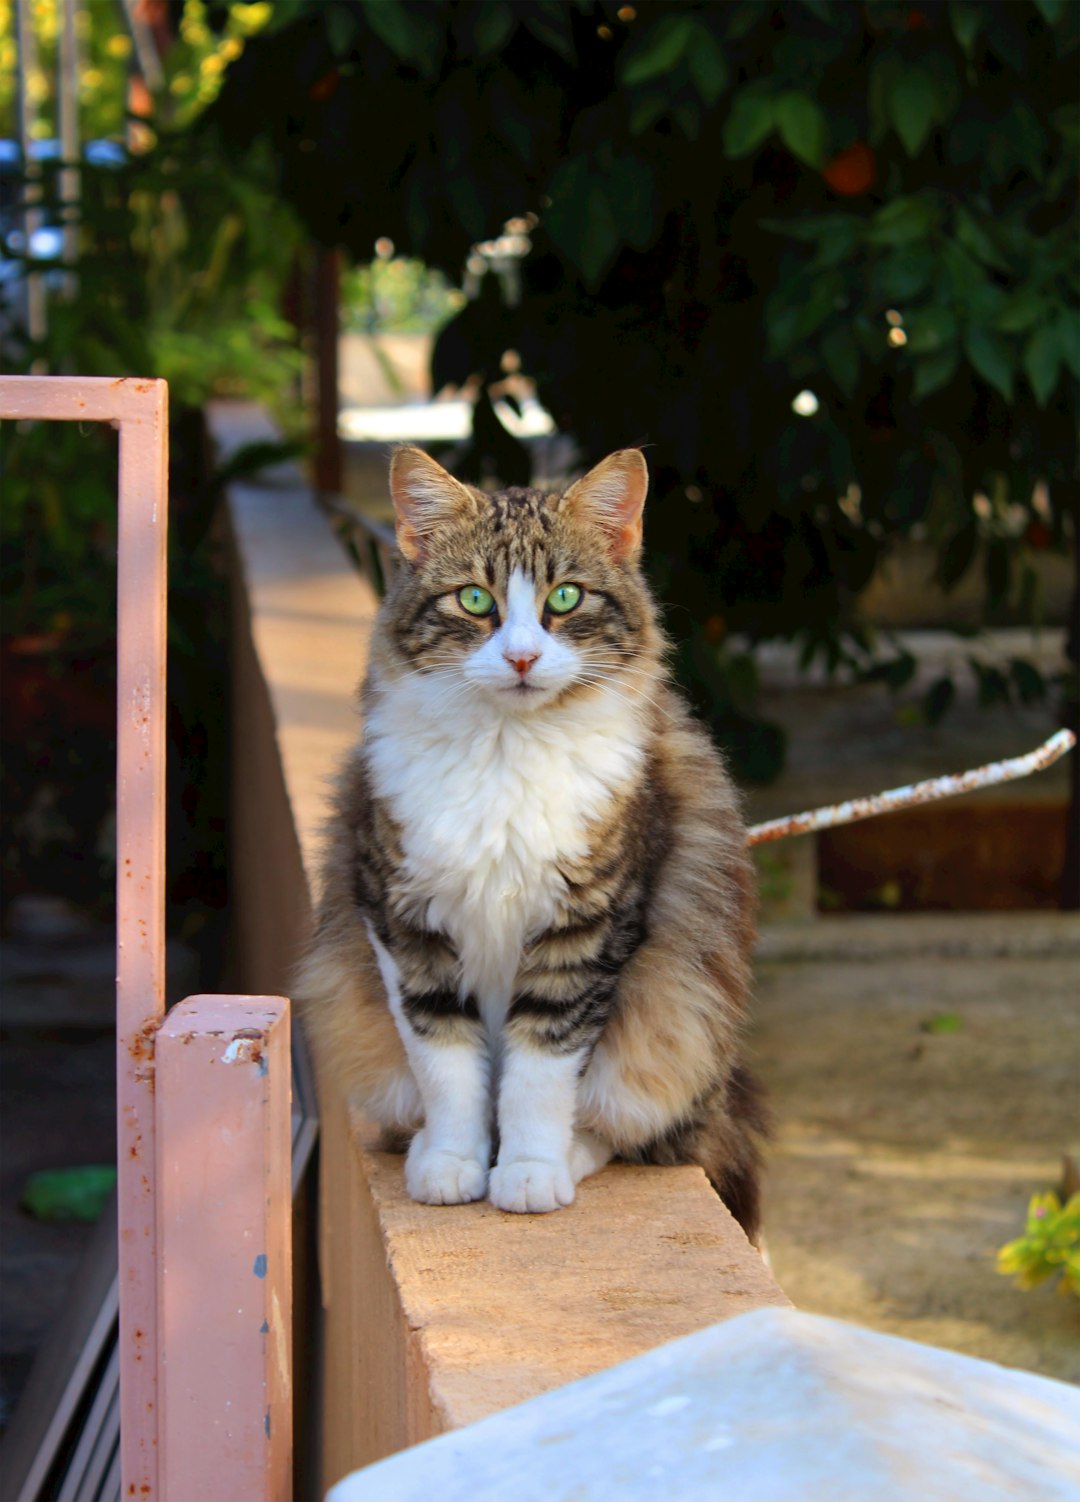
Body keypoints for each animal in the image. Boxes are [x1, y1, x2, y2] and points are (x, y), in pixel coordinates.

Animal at [295, 444, 769, 1243]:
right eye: (474, 601)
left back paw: (570, 1154)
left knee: (632, 1127)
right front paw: (453, 1162)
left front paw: (527, 1170)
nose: (520, 658)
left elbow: (538, 1074)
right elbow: (447, 1065)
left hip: (681, 1025)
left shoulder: (585, 929)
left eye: (567, 598)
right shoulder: (404, 922)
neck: (504, 751)